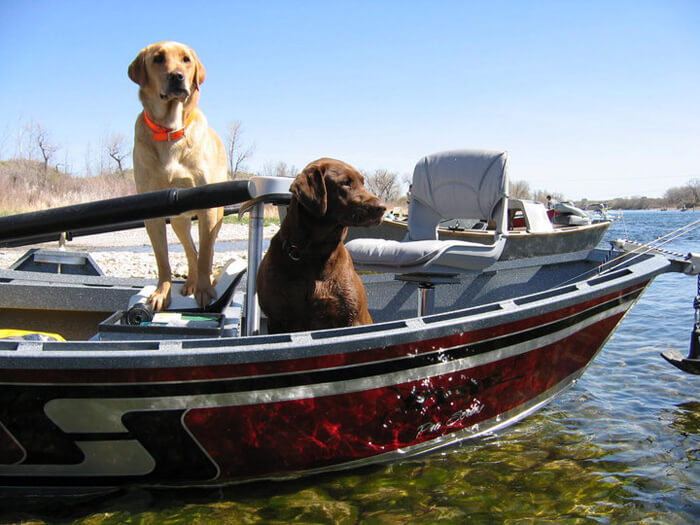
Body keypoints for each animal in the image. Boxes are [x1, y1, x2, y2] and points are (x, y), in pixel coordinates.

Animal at [129, 43, 227, 312]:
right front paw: (162, 293)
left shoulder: (208, 209)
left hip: (217, 215)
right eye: (158, 59)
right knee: (190, 250)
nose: (177, 77)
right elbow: (162, 259)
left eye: (186, 60)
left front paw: (204, 289)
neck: (170, 131)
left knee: (204, 251)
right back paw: (190, 282)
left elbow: (206, 254)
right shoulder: (151, 213)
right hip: (178, 222)